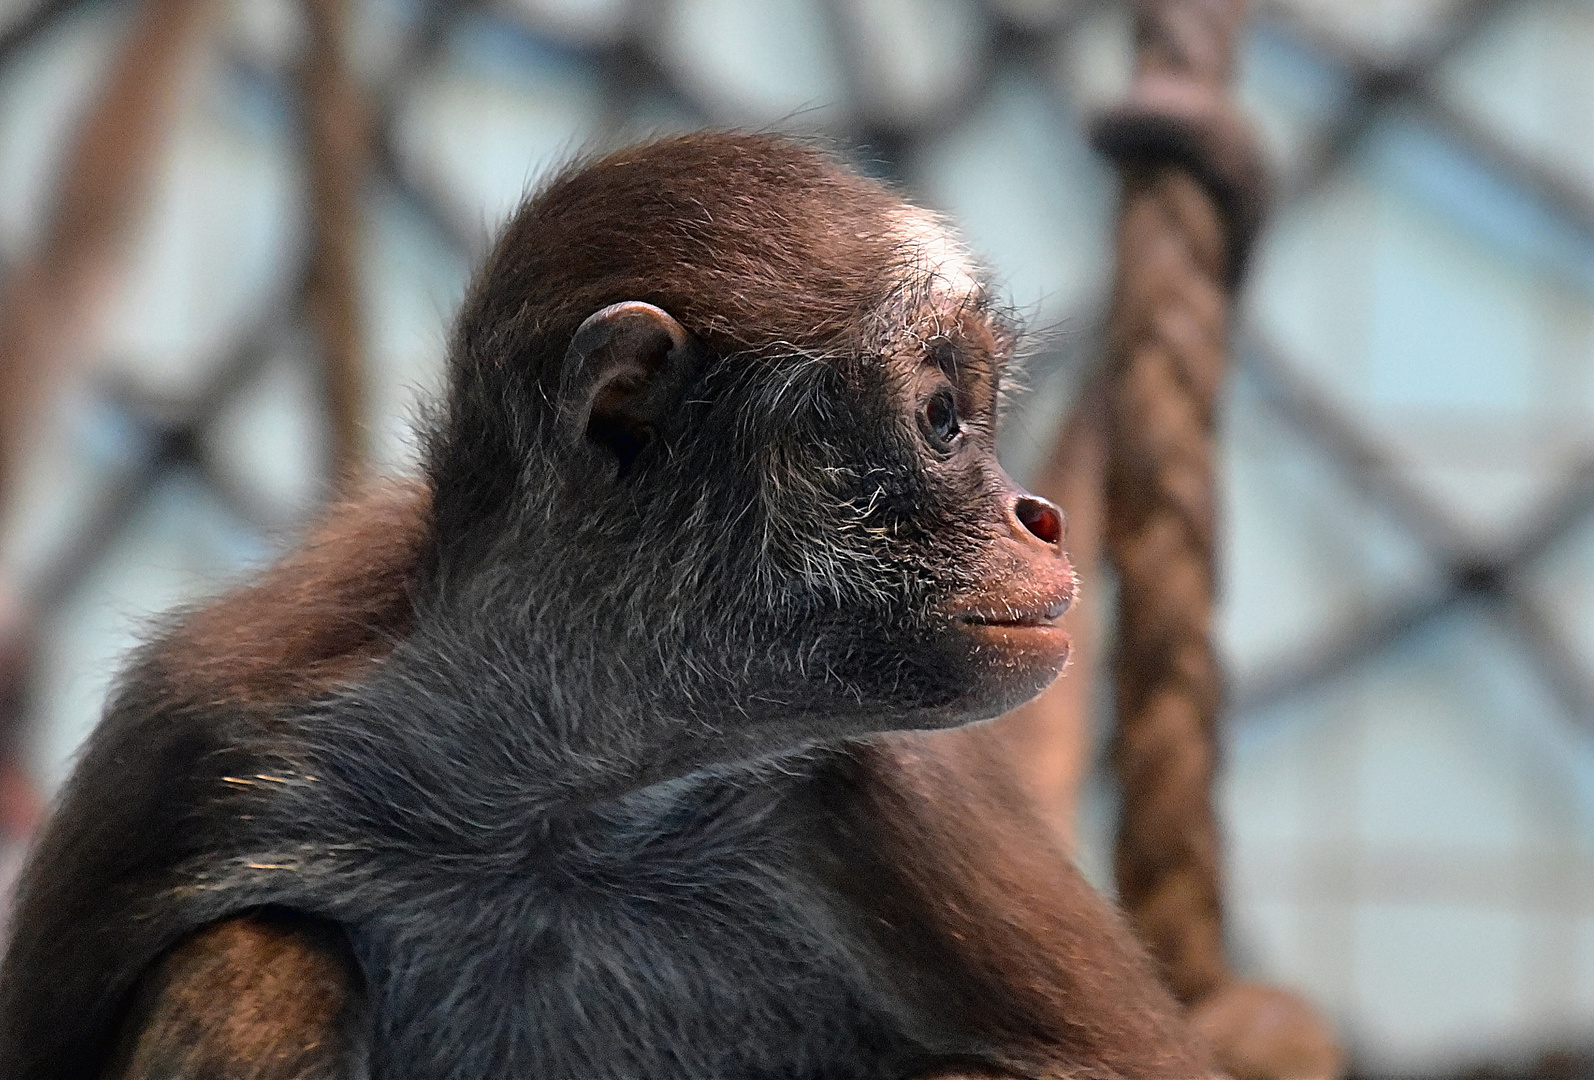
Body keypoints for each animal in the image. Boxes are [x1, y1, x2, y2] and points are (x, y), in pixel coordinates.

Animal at [0, 133, 1211, 1080]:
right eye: (944, 419)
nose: (1040, 517)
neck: (564, 807)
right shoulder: (197, 728)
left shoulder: (893, 801)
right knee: (267, 960)